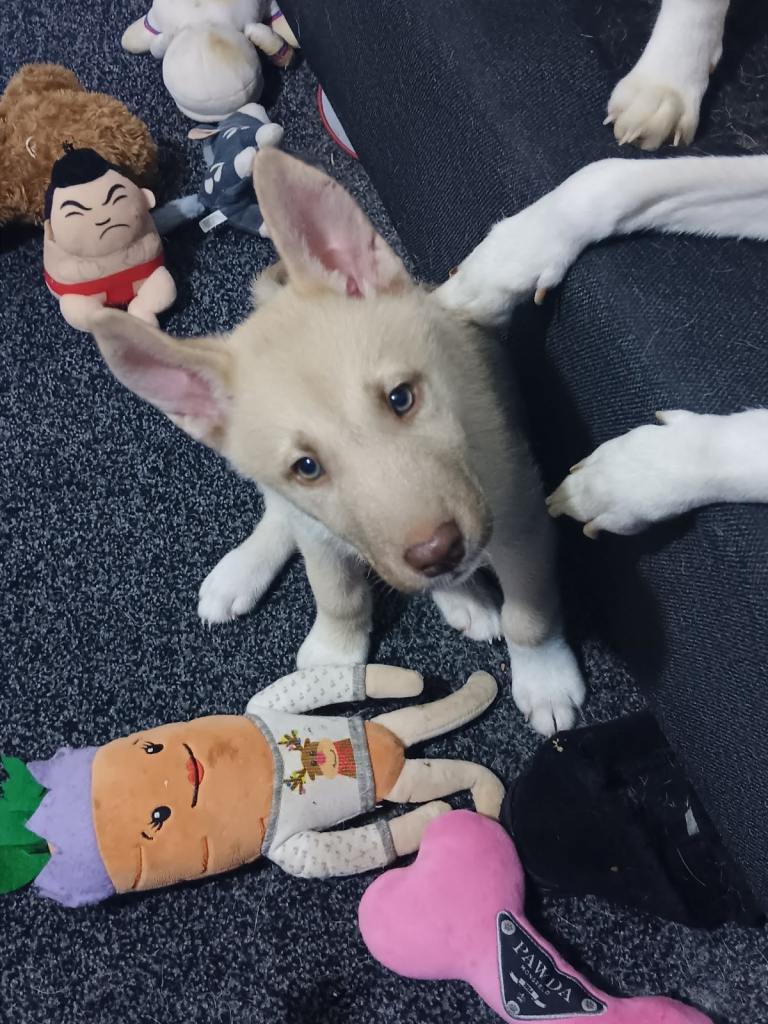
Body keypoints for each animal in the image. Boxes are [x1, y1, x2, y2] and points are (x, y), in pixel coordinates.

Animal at [89, 148, 585, 738]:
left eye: (401, 398)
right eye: (307, 466)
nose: (437, 551)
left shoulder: (523, 517)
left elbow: (529, 612)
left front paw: (545, 678)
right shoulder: (321, 529)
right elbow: (337, 592)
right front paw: (332, 657)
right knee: (281, 514)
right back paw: (243, 569)